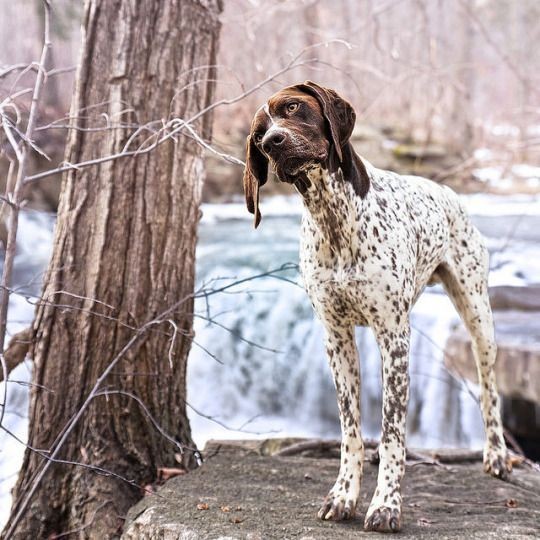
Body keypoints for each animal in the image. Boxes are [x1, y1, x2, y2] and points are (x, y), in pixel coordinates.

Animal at [242, 80, 510, 532]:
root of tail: (447, 191)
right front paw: (344, 495)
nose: (272, 142)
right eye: (258, 134)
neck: (333, 217)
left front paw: (386, 504)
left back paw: (497, 455)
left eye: (292, 108)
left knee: (490, 388)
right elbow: (351, 430)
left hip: (479, 318)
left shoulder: (395, 337)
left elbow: (392, 433)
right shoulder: (337, 340)